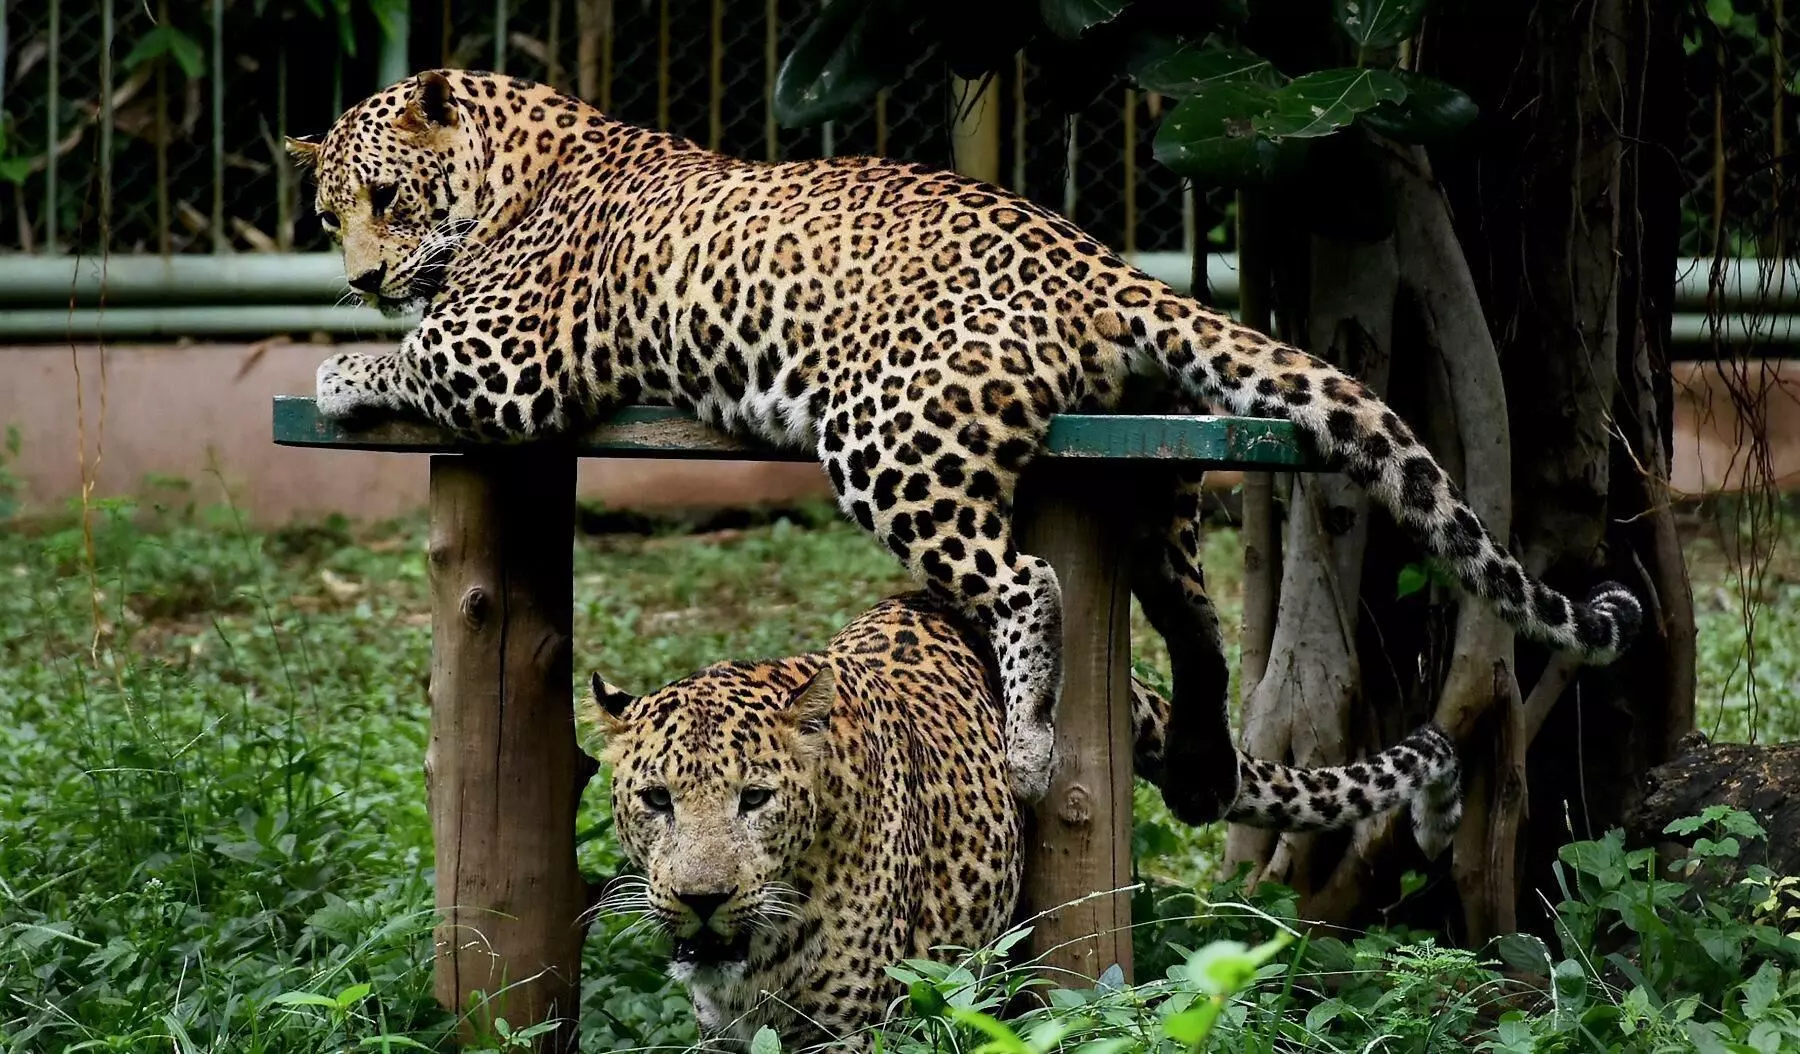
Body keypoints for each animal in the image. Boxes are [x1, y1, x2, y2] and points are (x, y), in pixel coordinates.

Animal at [287, 68, 1641, 823]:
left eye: (386, 199)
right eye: (325, 210)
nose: (357, 279)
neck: (518, 158)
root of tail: (1098, 261)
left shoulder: (505, 364)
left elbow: (415, 354)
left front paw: (341, 364)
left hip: (887, 438)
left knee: (1032, 581)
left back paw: (1035, 741)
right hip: (1157, 472)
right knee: (1189, 612)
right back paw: (1205, 752)